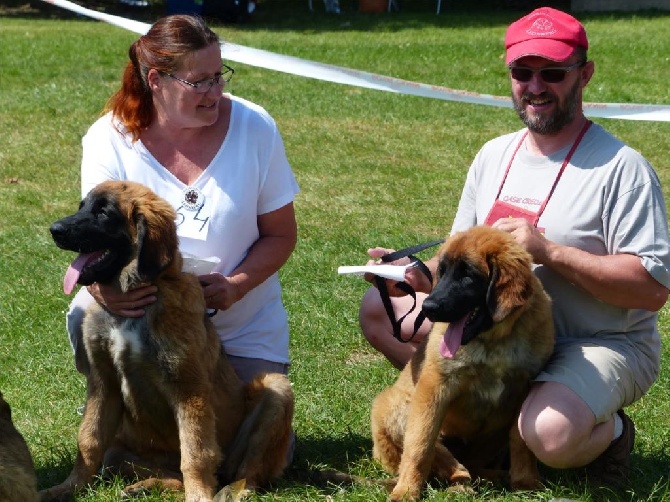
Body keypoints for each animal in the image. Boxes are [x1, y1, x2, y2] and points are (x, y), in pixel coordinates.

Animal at [42, 180, 294, 502]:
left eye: (104, 212)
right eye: (82, 206)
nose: (55, 230)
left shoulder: (189, 388)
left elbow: (196, 453)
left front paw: (199, 496)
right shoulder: (103, 382)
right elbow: (88, 439)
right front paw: (67, 488)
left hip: (276, 388)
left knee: (245, 473)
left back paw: (233, 490)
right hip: (121, 452)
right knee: (170, 475)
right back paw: (142, 485)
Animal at [372, 226, 556, 500]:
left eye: (467, 274)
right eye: (442, 271)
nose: (428, 307)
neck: (494, 340)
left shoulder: (525, 388)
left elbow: (520, 439)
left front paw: (525, 481)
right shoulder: (433, 388)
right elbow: (420, 444)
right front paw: (406, 491)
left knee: (474, 463)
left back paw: (491, 475)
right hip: (392, 405)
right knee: (439, 454)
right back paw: (458, 479)